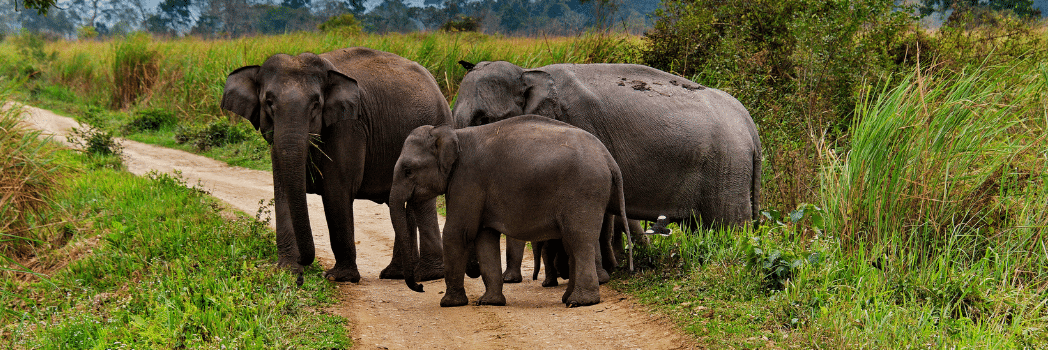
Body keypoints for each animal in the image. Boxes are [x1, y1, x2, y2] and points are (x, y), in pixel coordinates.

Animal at [221, 47, 450, 280]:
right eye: (268, 103)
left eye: (316, 104)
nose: (305, 262)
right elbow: (283, 189)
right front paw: (287, 270)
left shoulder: (349, 127)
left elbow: (336, 191)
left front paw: (338, 277)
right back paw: (396, 274)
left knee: (421, 202)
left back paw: (427, 274)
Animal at [387, 114, 624, 305]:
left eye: (408, 170)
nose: (420, 287)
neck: (454, 134)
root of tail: (609, 159)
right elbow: (484, 238)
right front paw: (489, 302)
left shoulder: (468, 179)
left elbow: (458, 233)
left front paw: (449, 304)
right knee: (572, 242)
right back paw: (568, 298)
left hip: (584, 191)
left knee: (579, 240)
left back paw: (579, 302)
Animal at [452, 60, 762, 272]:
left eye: (483, 119)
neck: (528, 72)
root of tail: (749, 123)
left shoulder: (579, 124)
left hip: (727, 168)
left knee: (728, 226)